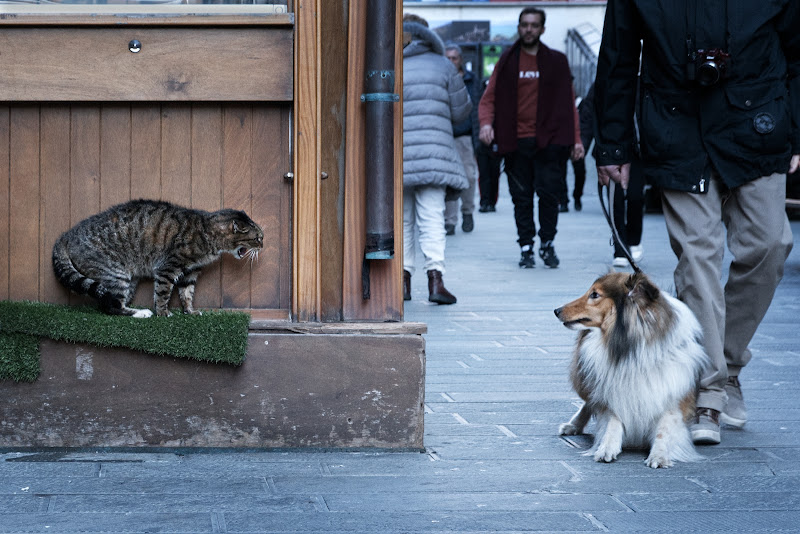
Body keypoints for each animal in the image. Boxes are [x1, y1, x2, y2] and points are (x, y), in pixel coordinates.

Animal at [51, 200, 264, 318]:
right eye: (258, 238)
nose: (263, 245)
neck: (208, 232)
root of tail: (66, 235)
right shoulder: (168, 267)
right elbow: (163, 292)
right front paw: (163, 312)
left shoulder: (190, 272)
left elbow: (187, 293)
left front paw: (190, 311)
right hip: (116, 273)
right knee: (111, 306)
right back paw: (141, 313)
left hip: (127, 278)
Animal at [552, 272, 708, 468]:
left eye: (595, 295)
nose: (556, 310)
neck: (633, 349)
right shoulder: (614, 389)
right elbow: (613, 420)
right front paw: (606, 448)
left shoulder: (674, 394)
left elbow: (664, 428)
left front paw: (659, 456)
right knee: (588, 401)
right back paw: (572, 425)